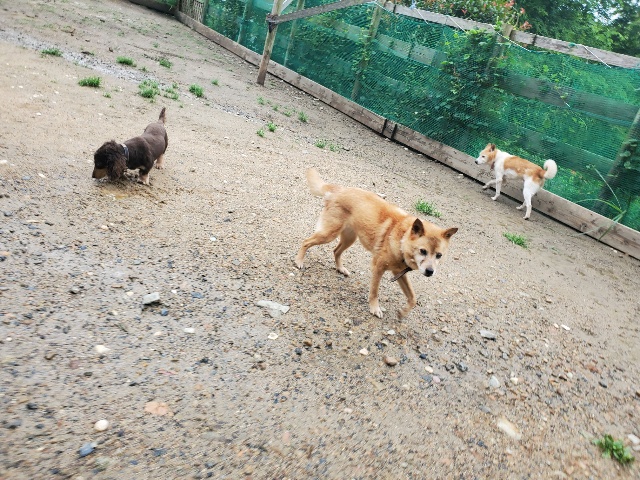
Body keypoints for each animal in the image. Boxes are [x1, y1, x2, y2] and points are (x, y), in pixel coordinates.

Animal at [295, 168, 458, 319]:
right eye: (423, 251)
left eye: (439, 255)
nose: (430, 272)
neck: (401, 238)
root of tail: (339, 189)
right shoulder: (378, 268)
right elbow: (374, 291)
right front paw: (375, 308)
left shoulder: (399, 272)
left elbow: (413, 298)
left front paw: (402, 313)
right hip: (328, 235)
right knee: (306, 241)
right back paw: (299, 261)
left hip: (349, 239)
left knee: (336, 251)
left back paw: (340, 268)